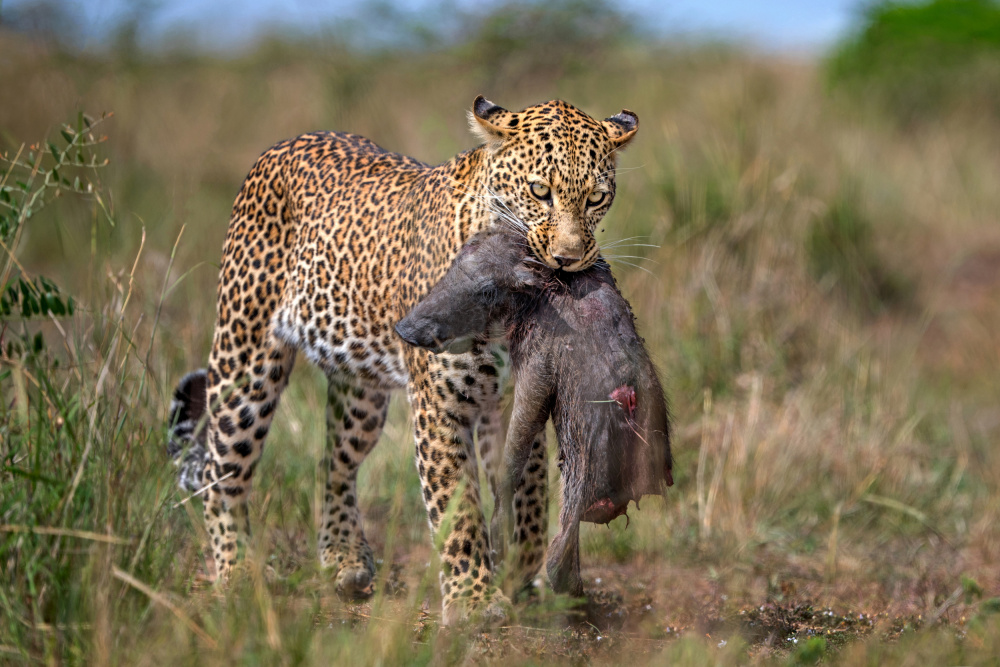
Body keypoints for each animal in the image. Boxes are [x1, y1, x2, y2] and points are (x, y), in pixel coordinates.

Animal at [176, 96, 638, 625]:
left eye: (597, 198)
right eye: (540, 191)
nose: (568, 259)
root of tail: (286, 142)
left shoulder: (509, 404)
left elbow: (528, 494)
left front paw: (521, 577)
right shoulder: (439, 405)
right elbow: (458, 508)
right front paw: (474, 600)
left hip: (360, 392)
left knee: (332, 463)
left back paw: (345, 559)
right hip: (246, 359)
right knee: (222, 469)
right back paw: (236, 573)